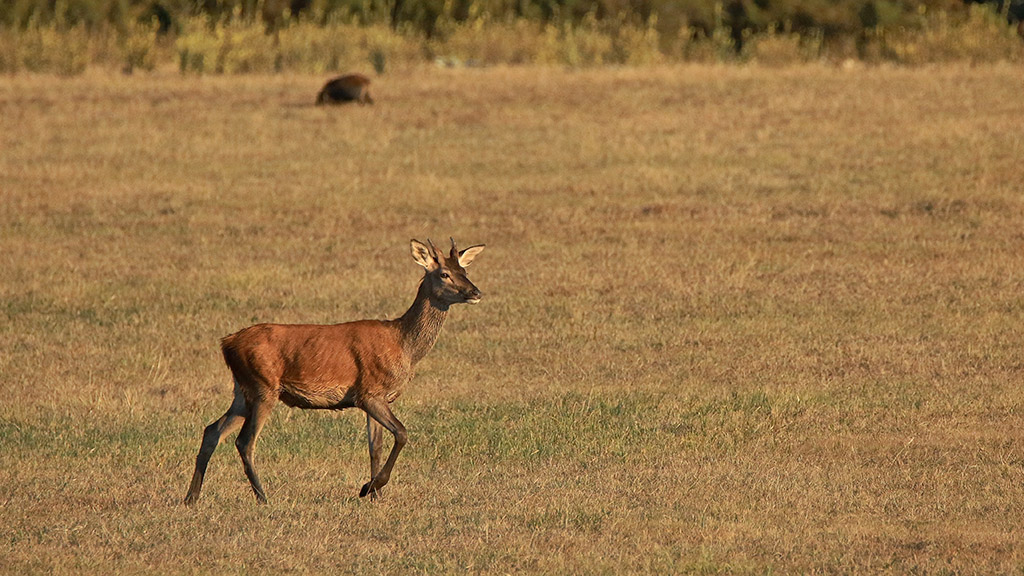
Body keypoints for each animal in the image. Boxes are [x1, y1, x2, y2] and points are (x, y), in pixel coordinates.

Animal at [184, 236, 483, 502]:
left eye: (465, 271)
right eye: (444, 274)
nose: (476, 292)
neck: (403, 345)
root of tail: (226, 344)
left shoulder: (377, 397)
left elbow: (375, 446)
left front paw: (375, 494)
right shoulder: (369, 393)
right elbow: (401, 433)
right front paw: (370, 488)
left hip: (242, 390)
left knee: (212, 430)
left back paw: (192, 497)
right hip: (262, 386)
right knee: (245, 441)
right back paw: (263, 497)